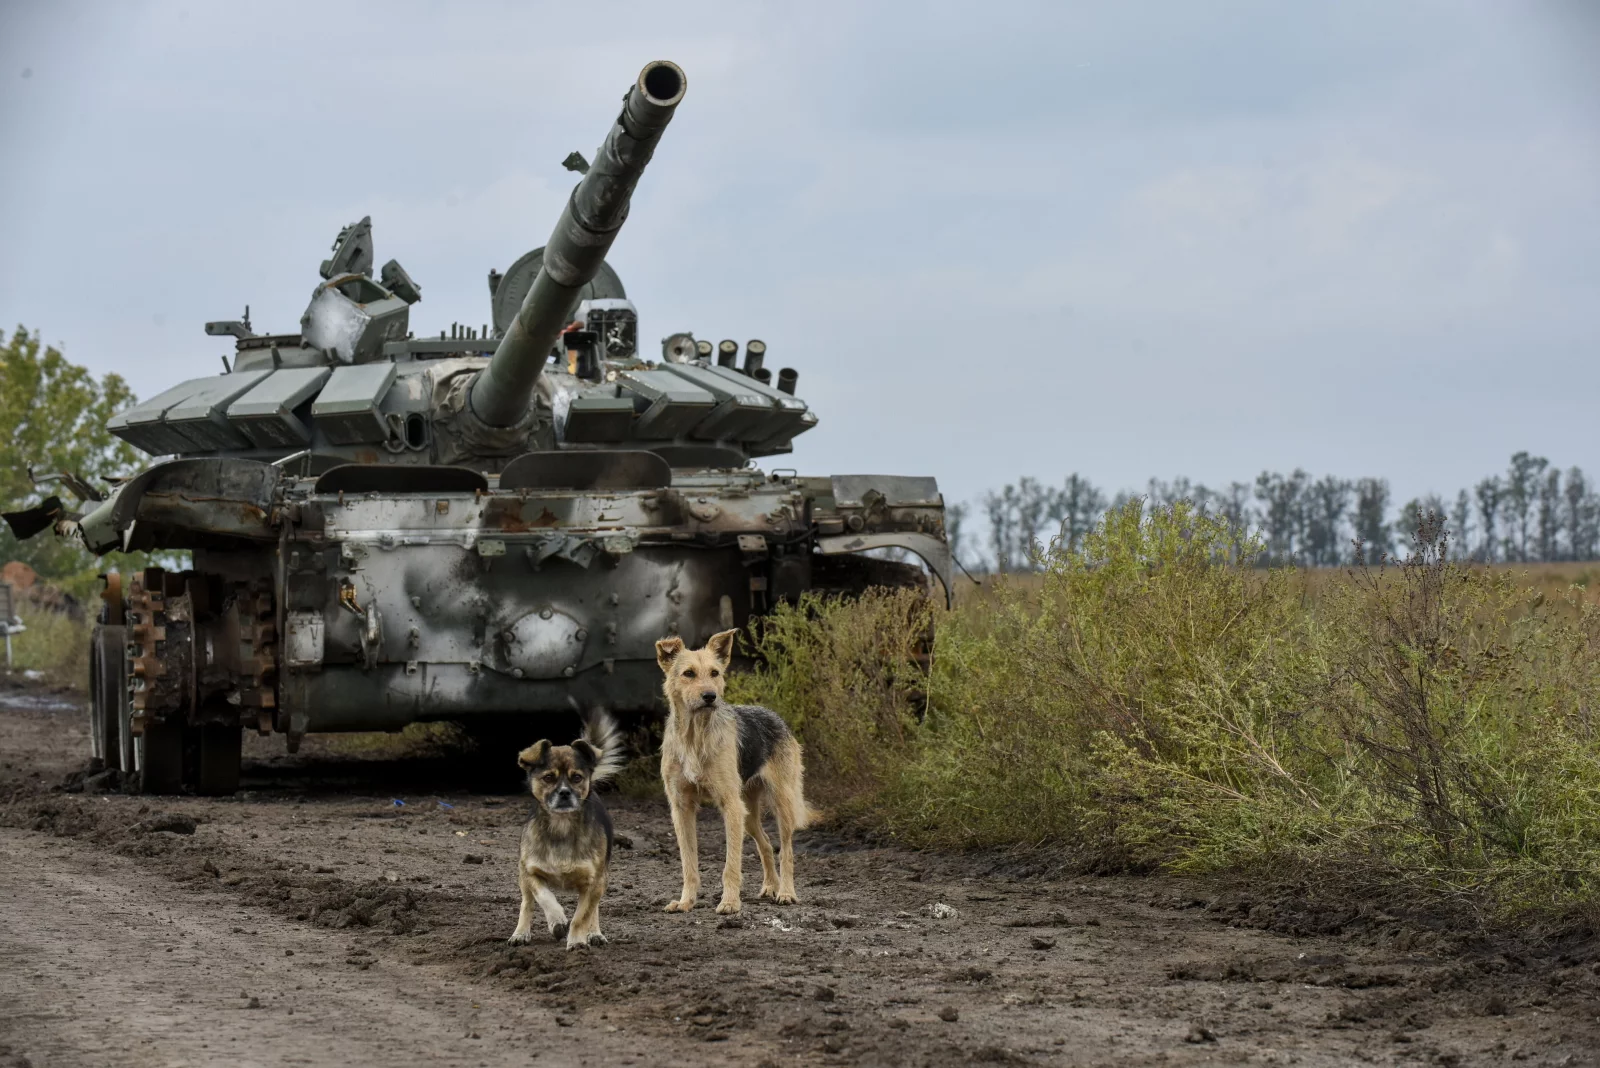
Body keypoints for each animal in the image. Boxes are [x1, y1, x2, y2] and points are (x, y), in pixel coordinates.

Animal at [508, 713, 620, 946]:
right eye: (548, 777)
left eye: (577, 777)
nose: (565, 793)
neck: (562, 826)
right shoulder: (530, 872)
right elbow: (544, 896)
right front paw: (557, 920)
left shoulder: (593, 882)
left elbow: (582, 915)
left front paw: (577, 941)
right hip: (523, 880)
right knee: (527, 904)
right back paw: (521, 933)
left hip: (602, 880)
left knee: (594, 909)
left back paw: (594, 933)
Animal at [656, 629, 819, 914]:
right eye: (688, 673)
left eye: (715, 673)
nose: (710, 696)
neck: (695, 737)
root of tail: (774, 714)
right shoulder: (682, 808)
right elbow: (689, 864)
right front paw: (686, 901)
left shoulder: (730, 806)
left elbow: (731, 865)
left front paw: (730, 902)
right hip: (749, 815)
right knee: (766, 844)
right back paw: (771, 886)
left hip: (781, 804)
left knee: (786, 852)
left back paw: (786, 892)